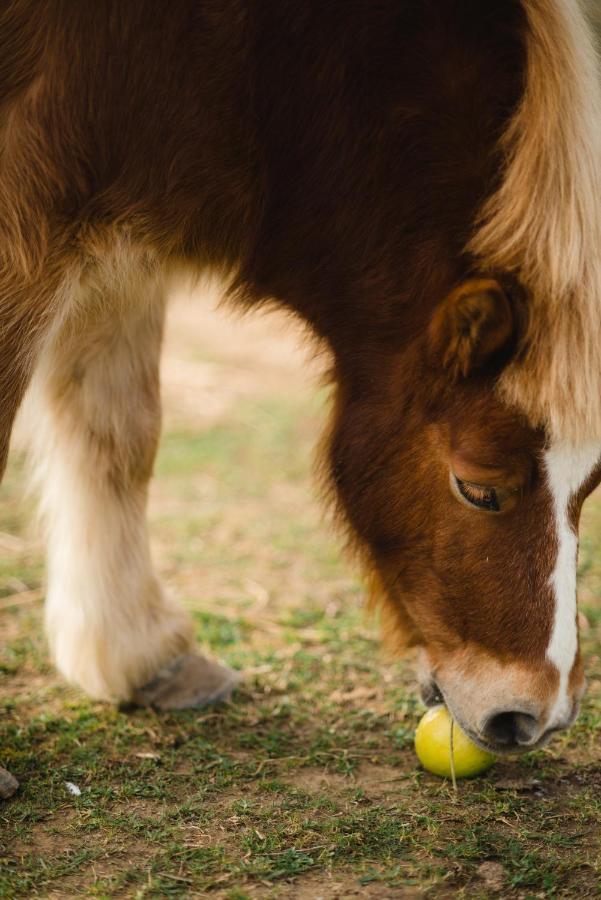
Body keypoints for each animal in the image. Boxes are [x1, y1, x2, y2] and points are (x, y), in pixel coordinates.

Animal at [1, 0, 600, 796]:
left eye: (591, 486)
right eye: (477, 488)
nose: (535, 717)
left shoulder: (121, 207)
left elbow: (118, 431)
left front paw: (144, 658)